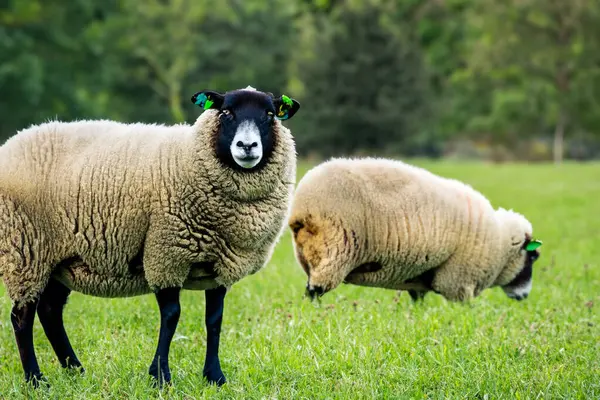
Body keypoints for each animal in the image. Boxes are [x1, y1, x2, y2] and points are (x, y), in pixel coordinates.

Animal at [0, 85, 300, 388]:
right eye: (226, 112)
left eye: (270, 114)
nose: (247, 146)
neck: (191, 156)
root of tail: (10, 144)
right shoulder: (165, 251)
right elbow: (171, 315)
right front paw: (160, 376)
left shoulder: (219, 265)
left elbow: (214, 320)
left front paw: (214, 376)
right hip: (25, 251)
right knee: (21, 317)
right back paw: (35, 379)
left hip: (58, 259)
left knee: (50, 311)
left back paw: (75, 370)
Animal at [286, 156, 544, 304]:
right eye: (532, 257)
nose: (524, 296)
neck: (499, 242)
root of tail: (302, 206)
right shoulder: (458, 280)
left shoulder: (417, 278)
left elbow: (418, 300)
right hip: (336, 249)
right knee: (314, 290)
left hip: (310, 255)